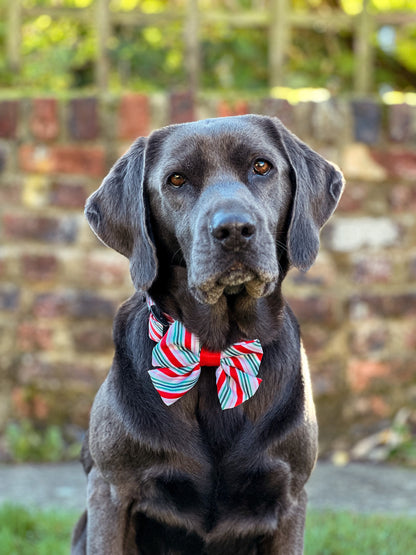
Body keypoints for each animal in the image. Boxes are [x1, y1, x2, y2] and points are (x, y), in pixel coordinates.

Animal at [71, 114, 344, 555]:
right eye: (177, 180)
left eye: (262, 166)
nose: (234, 229)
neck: (218, 349)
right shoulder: (110, 491)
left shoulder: (290, 498)